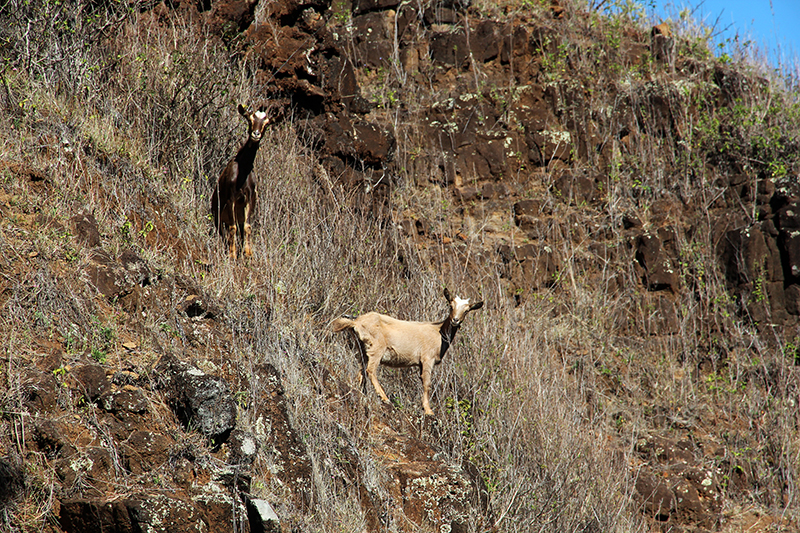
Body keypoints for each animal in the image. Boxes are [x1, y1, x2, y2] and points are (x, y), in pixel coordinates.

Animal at [211, 103, 270, 258]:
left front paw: (248, 253)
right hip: (218, 215)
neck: (242, 173)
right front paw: (232, 254)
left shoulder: (249, 198)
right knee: (224, 232)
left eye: (267, 124)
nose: (256, 134)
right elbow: (233, 228)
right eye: (249, 119)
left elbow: (247, 227)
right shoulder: (231, 198)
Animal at [330, 286, 484, 416]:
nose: (455, 320)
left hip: (361, 348)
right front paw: (428, 410)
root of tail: (356, 322)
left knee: (361, 371)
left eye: (467, 310)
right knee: (370, 370)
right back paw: (384, 398)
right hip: (376, 348)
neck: (438, 332)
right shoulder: (427, 359)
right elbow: (427, 383)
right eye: (450, 306)